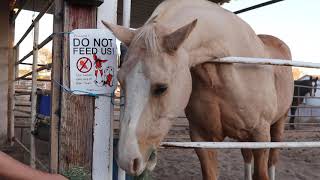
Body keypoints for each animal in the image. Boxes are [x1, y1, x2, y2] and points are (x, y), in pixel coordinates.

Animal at [102, 0, 292, 179]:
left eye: (162, 88)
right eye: (121, 80)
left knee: (272, 160)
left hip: (278, 125)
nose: (127, 160)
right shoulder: (202, 139)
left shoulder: (260, 136)